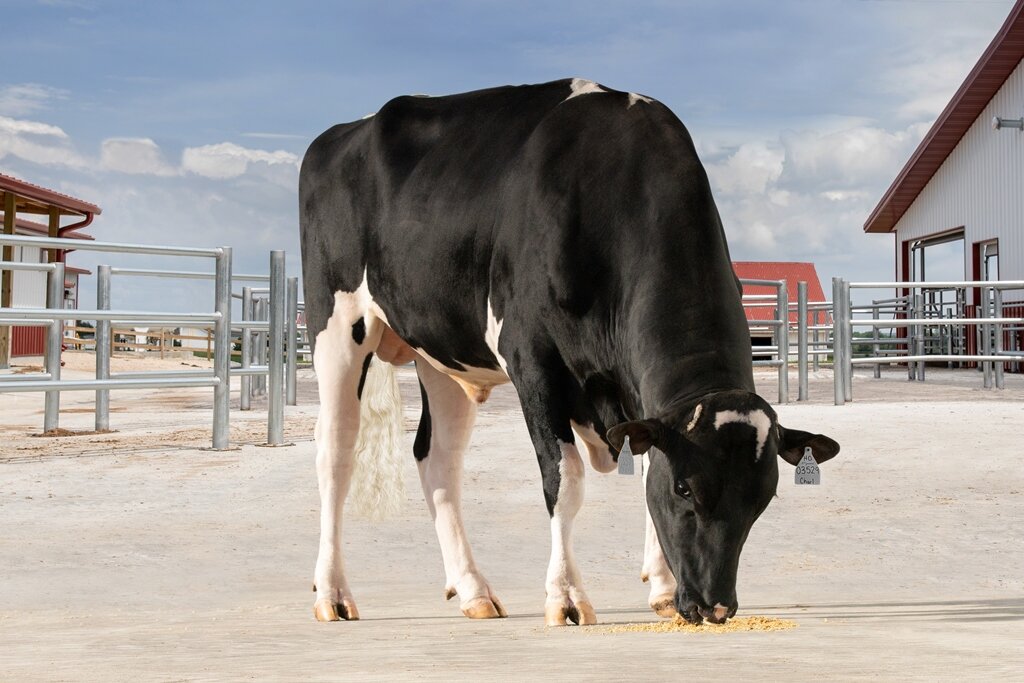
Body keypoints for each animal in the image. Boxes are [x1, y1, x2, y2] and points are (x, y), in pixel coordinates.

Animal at [299, 77, 839, 626]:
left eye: (763, 498)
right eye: (685, 489)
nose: (715, 606)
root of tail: (342, 132)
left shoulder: (635, 388)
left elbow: (645, 464)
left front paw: (663, 587)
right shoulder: (532, 359)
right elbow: (565, 478)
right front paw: (566, 596)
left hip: (441, 352)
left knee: (438, 460)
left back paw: (473, 589)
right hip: (337, 327)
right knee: (335, 451)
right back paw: (333, 593)